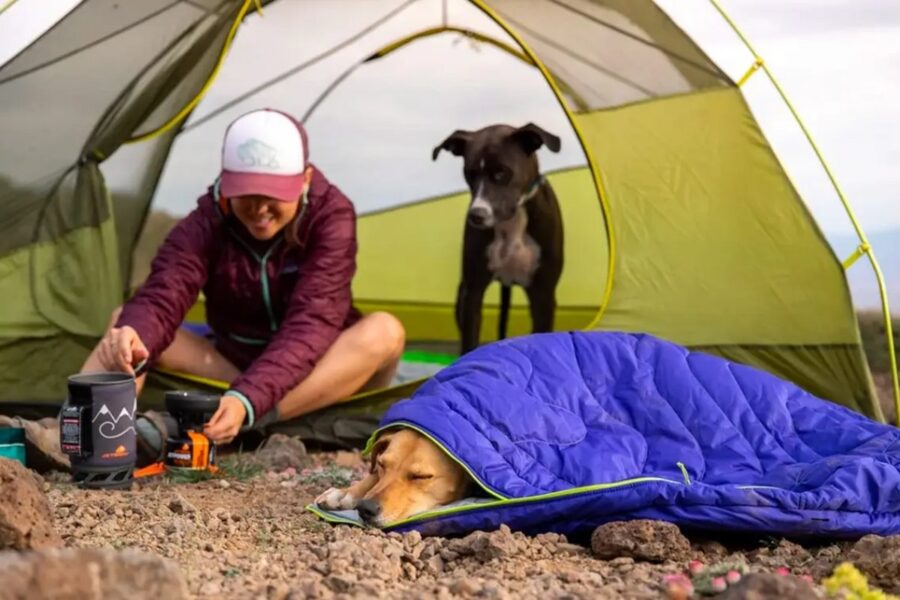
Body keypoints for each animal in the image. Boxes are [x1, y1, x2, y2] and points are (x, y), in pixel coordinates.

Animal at [434, 123, 564, 354]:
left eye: (501, 172)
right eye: (469, 173)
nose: (476, 215)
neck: (512, 223)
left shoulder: (544, 295)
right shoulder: (472, 291)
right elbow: (469, 341)